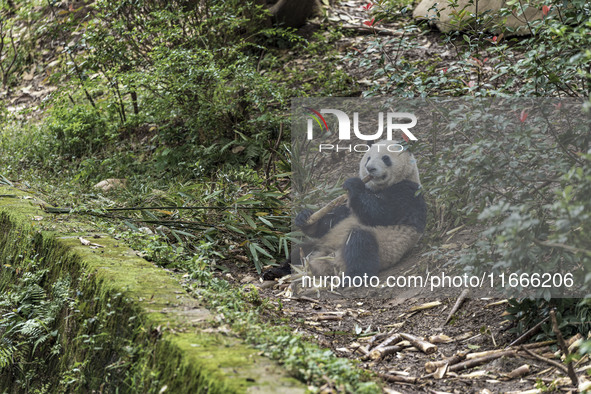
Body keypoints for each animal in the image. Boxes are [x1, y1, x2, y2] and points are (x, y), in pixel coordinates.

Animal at [262, 140, 426, 282]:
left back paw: (352, 279)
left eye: (386, 158)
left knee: (360, 245)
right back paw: (276, 272)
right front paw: (304, 217)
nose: (370, 168)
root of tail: (324, 260)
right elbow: (329, 222)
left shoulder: (408, 193)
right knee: (298, 251)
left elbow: (382, 213)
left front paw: (353, 184)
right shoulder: (348, 206)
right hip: (319, 244)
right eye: (368, 158)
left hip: (382, 245)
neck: (377, 188)